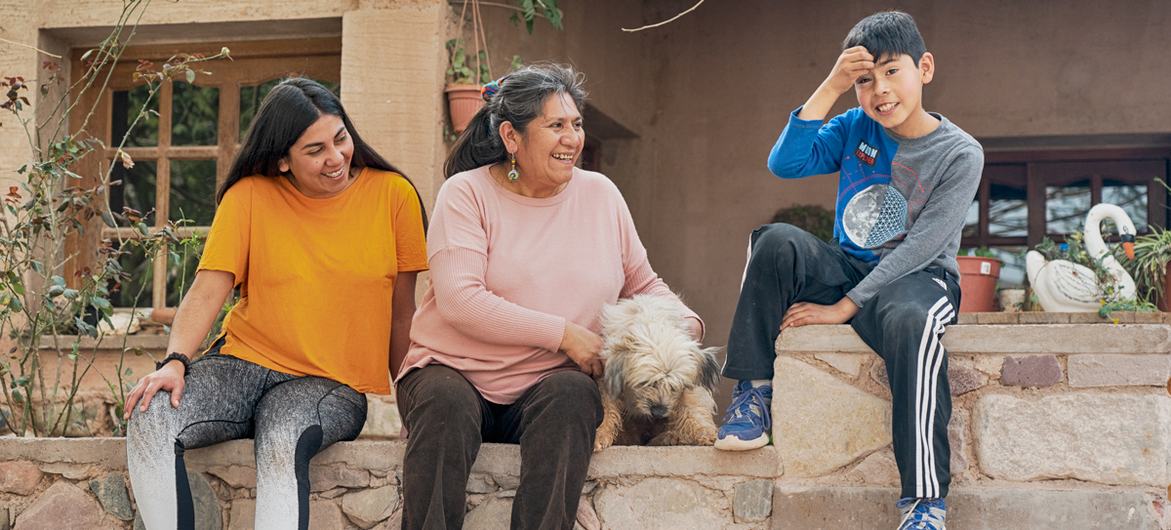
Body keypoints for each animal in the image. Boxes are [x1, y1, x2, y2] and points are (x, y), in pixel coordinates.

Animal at [594, 293, 721, 449]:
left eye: (675, 386)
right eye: (644, 383)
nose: (658, 412)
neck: (652, 323)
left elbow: (691, 407)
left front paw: (704, 432)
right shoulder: (607, 382)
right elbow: (607, 407)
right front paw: (601, 433)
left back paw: (669, 437)